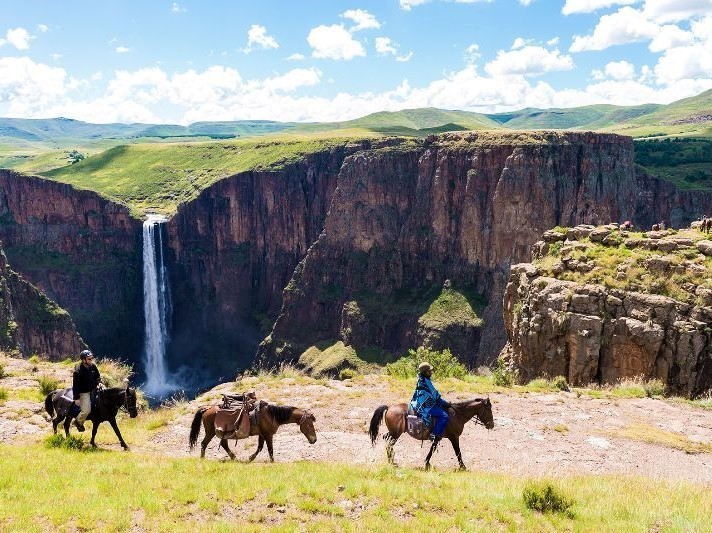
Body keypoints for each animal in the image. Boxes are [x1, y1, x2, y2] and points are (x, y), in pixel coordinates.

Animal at [188, 402, 316, 460]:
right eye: (310, 425)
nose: (314, 440)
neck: (272, 416)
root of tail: (207, 408)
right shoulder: (268, 435)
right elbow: (270, 449)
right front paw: (272, 461)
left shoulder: (262, 434)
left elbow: (260, 447)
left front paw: (250, 458)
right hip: (210, 432)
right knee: (204, 443)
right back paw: (203, 459)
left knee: (223, 444)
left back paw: (234, 458)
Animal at [368, 396, 496, 468]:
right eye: (489, 409)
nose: (491, 425)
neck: (456, 415)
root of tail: (389, 407)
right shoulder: (454, 437)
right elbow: (458, 452)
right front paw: (463, 467)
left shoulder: (438, 437)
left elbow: (432, 449)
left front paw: (427, 463)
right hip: (396, 434)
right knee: (389, 443)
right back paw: (392, 461)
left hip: (393, 432)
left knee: (386, 439)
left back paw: (391, 460)